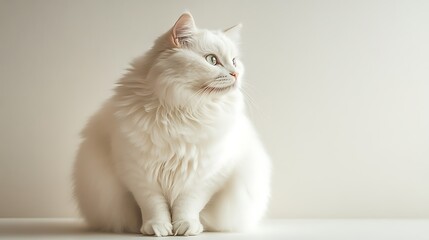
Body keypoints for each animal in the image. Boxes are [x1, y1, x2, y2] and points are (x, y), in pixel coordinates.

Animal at [72, 12, 270, 236]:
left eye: (235, 62)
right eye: (212, 60)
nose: (235, 74)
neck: (181, 112)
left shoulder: (206, 175)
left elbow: (187, 205)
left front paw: (186, 227)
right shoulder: (138, 174)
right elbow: (153, 206)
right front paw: (157, 228)